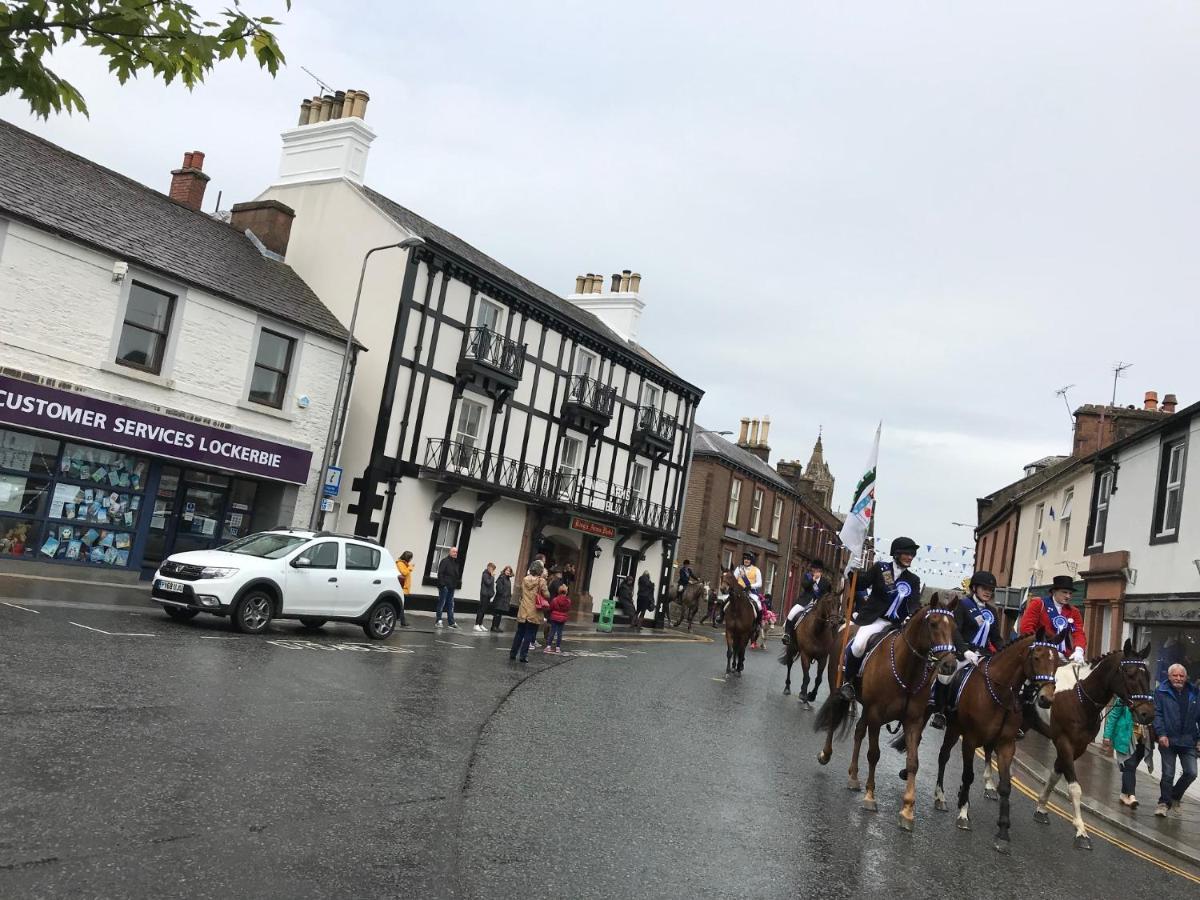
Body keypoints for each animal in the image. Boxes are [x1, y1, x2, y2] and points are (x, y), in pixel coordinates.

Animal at [811, 595, 960, 835]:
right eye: (933, 623)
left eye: (954, 627)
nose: (949, 665)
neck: (907, 669)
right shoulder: (876, 715)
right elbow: (874, 754)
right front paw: (870, 797)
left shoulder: (913, 721)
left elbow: (913, 762)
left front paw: (907, 810)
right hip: (840, 689)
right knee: (835, 721)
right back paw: (825, 754)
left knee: (858, 732)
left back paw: (853, 776)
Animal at [921, 628, 1065, 854]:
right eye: (1036, 657)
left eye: (1057, 662)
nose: (1046, 699)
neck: (1000, 692)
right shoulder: (970, 739)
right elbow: (968, 775)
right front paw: (963, 814)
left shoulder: (1006, 745)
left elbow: (1005, 786)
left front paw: (1003, 831)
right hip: (952, 729)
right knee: (942, 756)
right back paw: (940, 797)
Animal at [1027, 643, 1156, 854]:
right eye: (1130, 673)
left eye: (1149, 675)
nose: (1148, 714)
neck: (1079, 697)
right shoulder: (1064, 742)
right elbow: (1075, 788)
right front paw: (1081, 831)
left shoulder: (1078, 746)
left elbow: (1055, 775)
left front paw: (1041, 807)